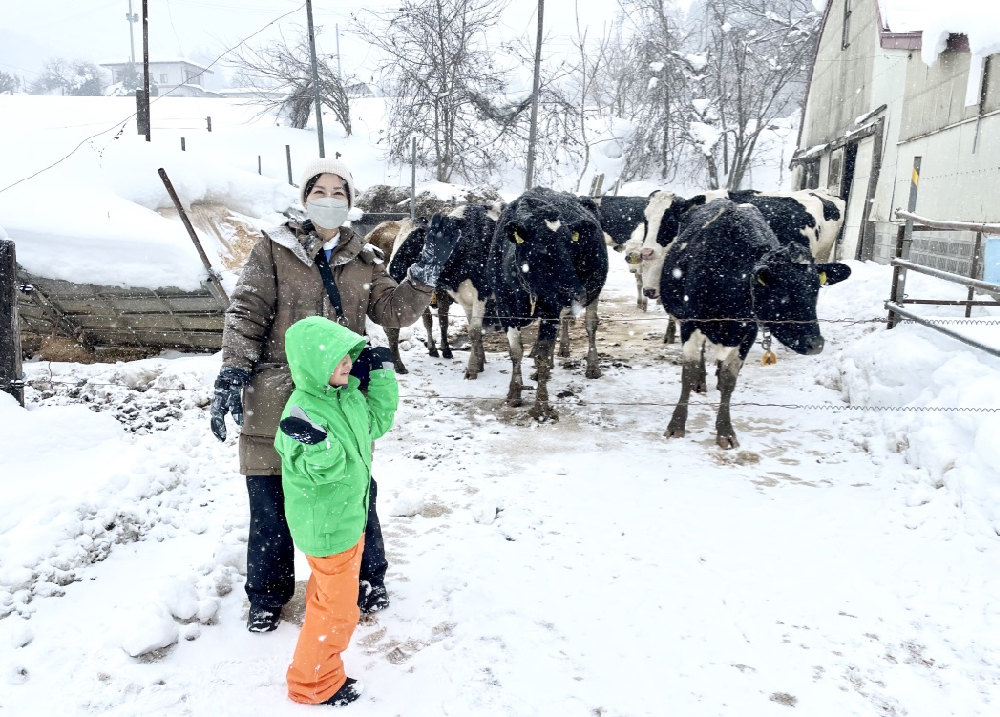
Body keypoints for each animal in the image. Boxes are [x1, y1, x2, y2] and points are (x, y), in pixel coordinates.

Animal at [486, 185, 604, 420]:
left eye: (571, 246)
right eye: (542, 249)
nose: (577, 292)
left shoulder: (551, 308)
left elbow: (541, 352)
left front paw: (541, 407)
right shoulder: (505, 308)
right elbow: (516, 351)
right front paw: (514, 393)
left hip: (593, 293)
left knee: (590, 325)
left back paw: (592, 366)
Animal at [656, 197, 852, 448]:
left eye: (816, 289)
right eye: (781, 293)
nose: (815, 344)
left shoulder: (747, 330)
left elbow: (730, 379)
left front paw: (725, 432)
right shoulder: (692, 323)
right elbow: (688, 374)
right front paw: (676, 425)